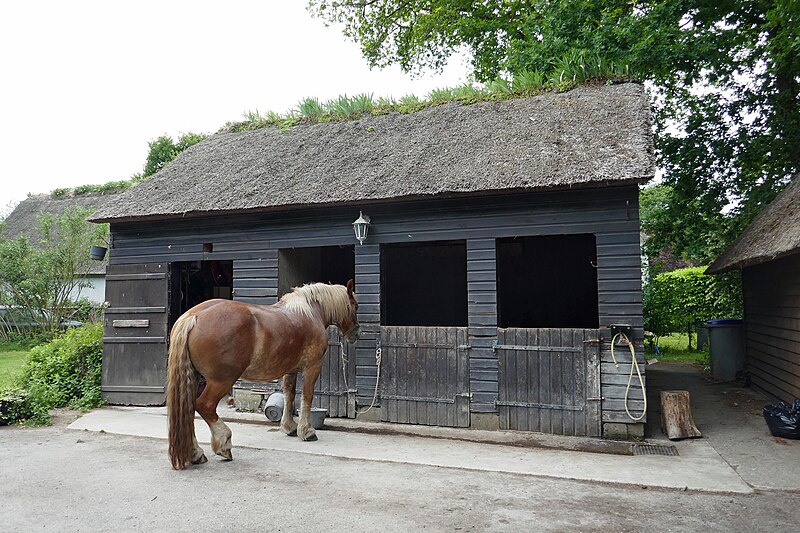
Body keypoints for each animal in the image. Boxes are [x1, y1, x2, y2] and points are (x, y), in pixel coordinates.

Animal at [166, 280, 360, 468]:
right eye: (356, 306)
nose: (356, 334)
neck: (310, 313)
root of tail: (193, 316)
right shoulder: (312, 367)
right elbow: (307, 396)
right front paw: (307, 431)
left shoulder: (290, 370)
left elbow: (289, 395)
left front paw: (289, 427)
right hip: (221, 381)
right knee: (204, 406)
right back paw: (223, 444)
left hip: (194, 378)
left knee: (188, 410)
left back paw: (196, 453)